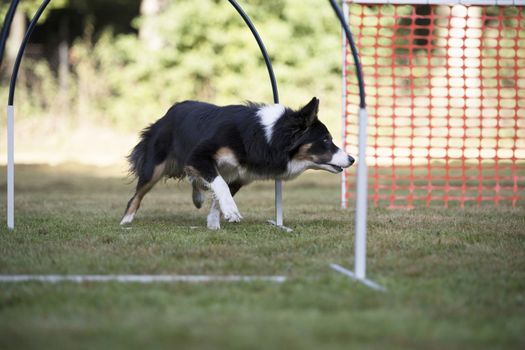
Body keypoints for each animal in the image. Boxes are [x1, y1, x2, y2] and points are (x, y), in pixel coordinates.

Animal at [121, 98, 354, 230]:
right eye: (326, 139)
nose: (352, 159)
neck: (267, 136)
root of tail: (169, 112)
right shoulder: (199, 156)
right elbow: (220, 185)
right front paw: (232, 212)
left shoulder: (241, 175)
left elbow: (219, 193)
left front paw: (214, 222)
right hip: (156, 166)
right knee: (137, 195)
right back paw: (126, 220)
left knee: (195, 180)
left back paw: (198, 198)